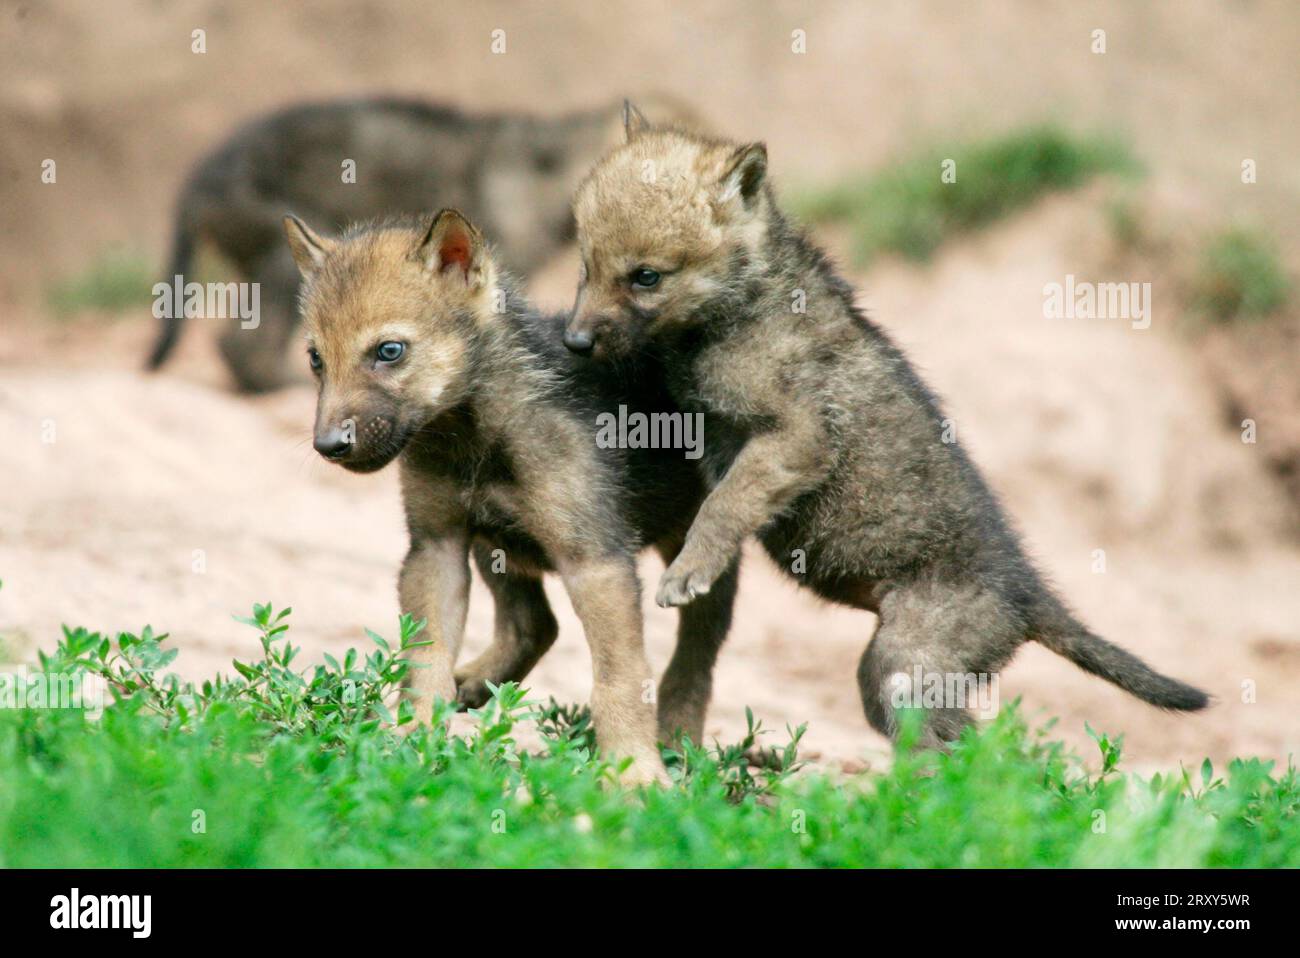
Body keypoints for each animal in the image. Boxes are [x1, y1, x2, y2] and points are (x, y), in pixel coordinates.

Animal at [286, 205, 738, 779]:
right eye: (316, 359)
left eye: (389, 351)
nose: (328, 446)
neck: (474, 437)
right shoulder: (437, 548)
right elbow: (426, 662)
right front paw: (414, 742)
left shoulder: (595, 562)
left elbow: (618, 680)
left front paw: (634, 772)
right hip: (496, 544)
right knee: (536, 625)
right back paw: (475, 683)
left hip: (695, 559)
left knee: (695, 659)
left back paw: (679, 743)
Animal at [564, 106, 1211, 748]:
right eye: (585, 266)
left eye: (646, 277)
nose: (574, 341)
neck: (744, 300)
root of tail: (1026, 591)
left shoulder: (796, 438)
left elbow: (723, 506)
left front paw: (687, 572)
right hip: (894, 674)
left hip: (902, 666)